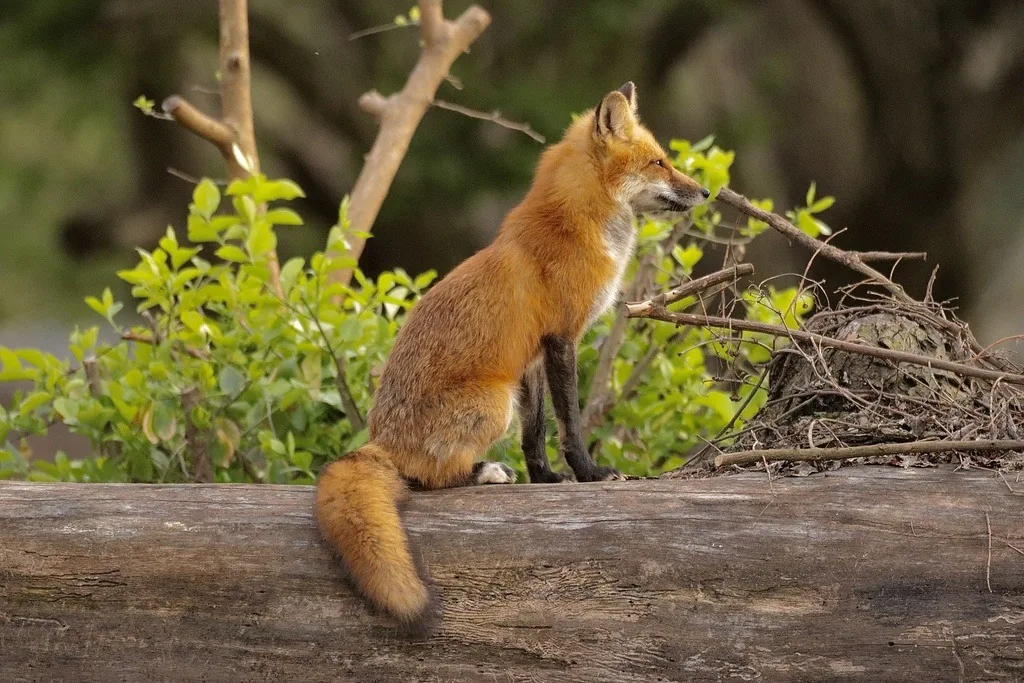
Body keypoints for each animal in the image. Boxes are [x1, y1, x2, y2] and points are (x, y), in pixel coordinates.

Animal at [315, 82, 709, 633]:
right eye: (659, 162)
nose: (706, 192)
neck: (578, 225)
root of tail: (379, 441)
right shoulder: (562, 339)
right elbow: (569, 424)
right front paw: (590, 474)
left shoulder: (533, 358)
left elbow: (536, 433)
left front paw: (545, 480)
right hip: (493, 403)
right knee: (426, 481)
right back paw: (481, 474)